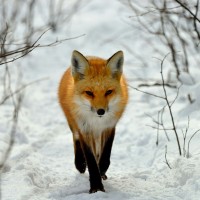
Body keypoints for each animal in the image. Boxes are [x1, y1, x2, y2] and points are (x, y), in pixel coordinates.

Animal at [57, 49, 128, 192]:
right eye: (89, 93)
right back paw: (80, 163)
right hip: (73, 123)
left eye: (108, 92)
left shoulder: (109, 126)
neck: (97, 122)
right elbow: (91, 159)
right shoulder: (85, 129)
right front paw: (96, 187)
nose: (101, 111)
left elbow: (105, 154)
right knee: (76, 138)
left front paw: (101, 171)